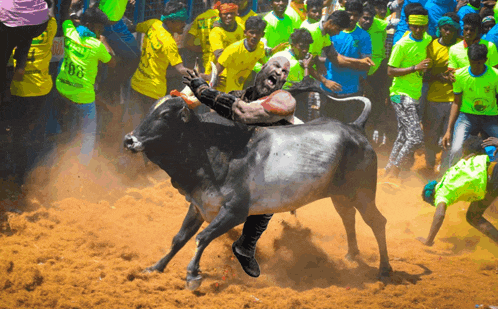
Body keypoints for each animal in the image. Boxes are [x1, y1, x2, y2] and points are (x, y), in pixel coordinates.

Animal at [122, 91, 392, 288]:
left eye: (165, 114)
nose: (129, 140)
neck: (216, 150)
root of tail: (355, 128)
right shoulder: (199, 205)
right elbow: (179, 238)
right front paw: (155, 268)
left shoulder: (235, 212)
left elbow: (202, 237)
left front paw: (192, 275)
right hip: (341, 195)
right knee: (348, 218)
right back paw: (352, 255)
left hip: (364, 193)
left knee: (377, 222)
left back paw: (385, 270)